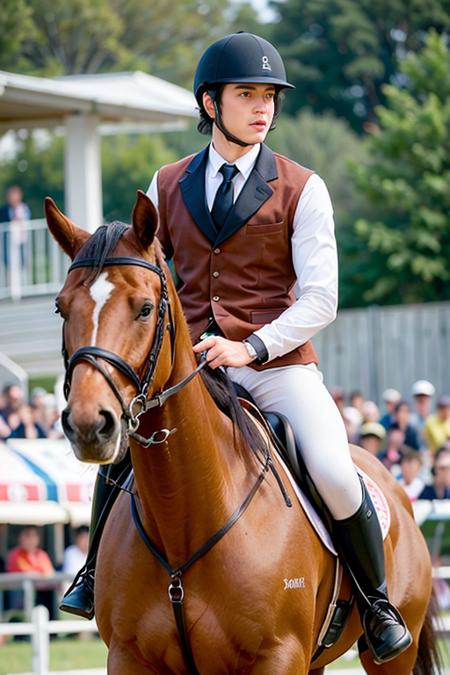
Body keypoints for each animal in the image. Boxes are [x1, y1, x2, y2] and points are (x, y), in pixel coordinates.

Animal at [44, 191, 440, 675]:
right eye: (61, 307)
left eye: (144, 308)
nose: (88, 424)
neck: (188, 517)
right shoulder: (128, 656)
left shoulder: (277, 657)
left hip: (388, 655)